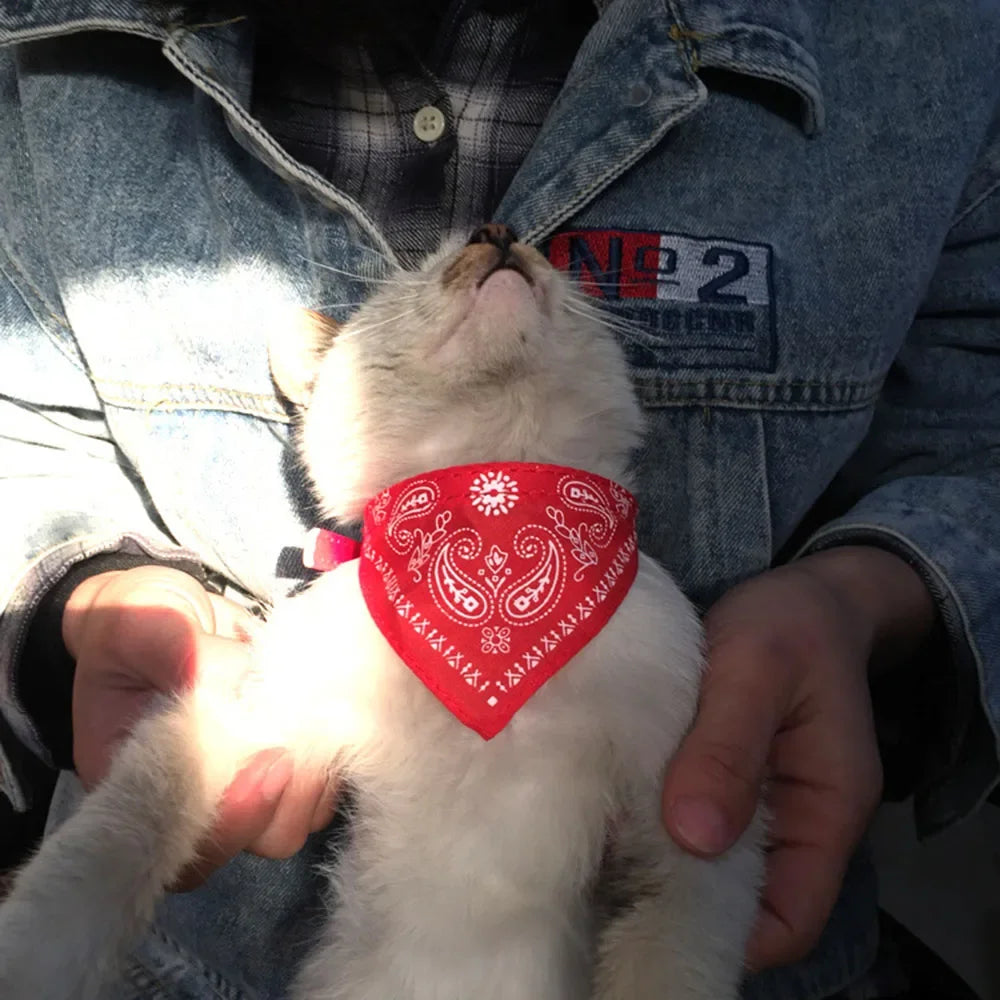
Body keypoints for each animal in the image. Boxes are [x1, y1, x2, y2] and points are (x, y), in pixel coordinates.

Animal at [0, 227, 764, 1000]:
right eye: (418, 268)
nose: (495, 232)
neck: (490, 512)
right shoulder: (252, 710)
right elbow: (117, 832)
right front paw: (36, 942)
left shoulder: (686, 827)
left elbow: (671, 961)